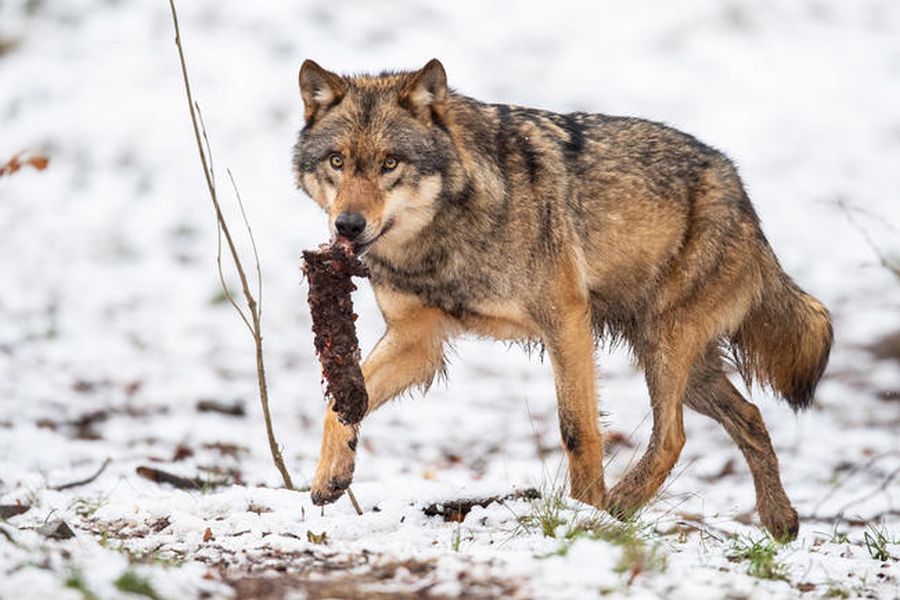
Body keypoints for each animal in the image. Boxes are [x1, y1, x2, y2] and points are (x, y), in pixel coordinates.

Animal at [294, 57, 828, 540]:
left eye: (390, 163)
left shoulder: (566, 321)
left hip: (665, 344)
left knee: (672, 437)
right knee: (750, 416)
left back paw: (620, 505)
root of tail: (739, 188)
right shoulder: (416, 343)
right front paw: (329, 478)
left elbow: (578, 431)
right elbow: (340, 404)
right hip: (684, 365)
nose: (348, 225)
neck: (443, 238)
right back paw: (780, 521)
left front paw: (584, 515)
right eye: (337, 161)